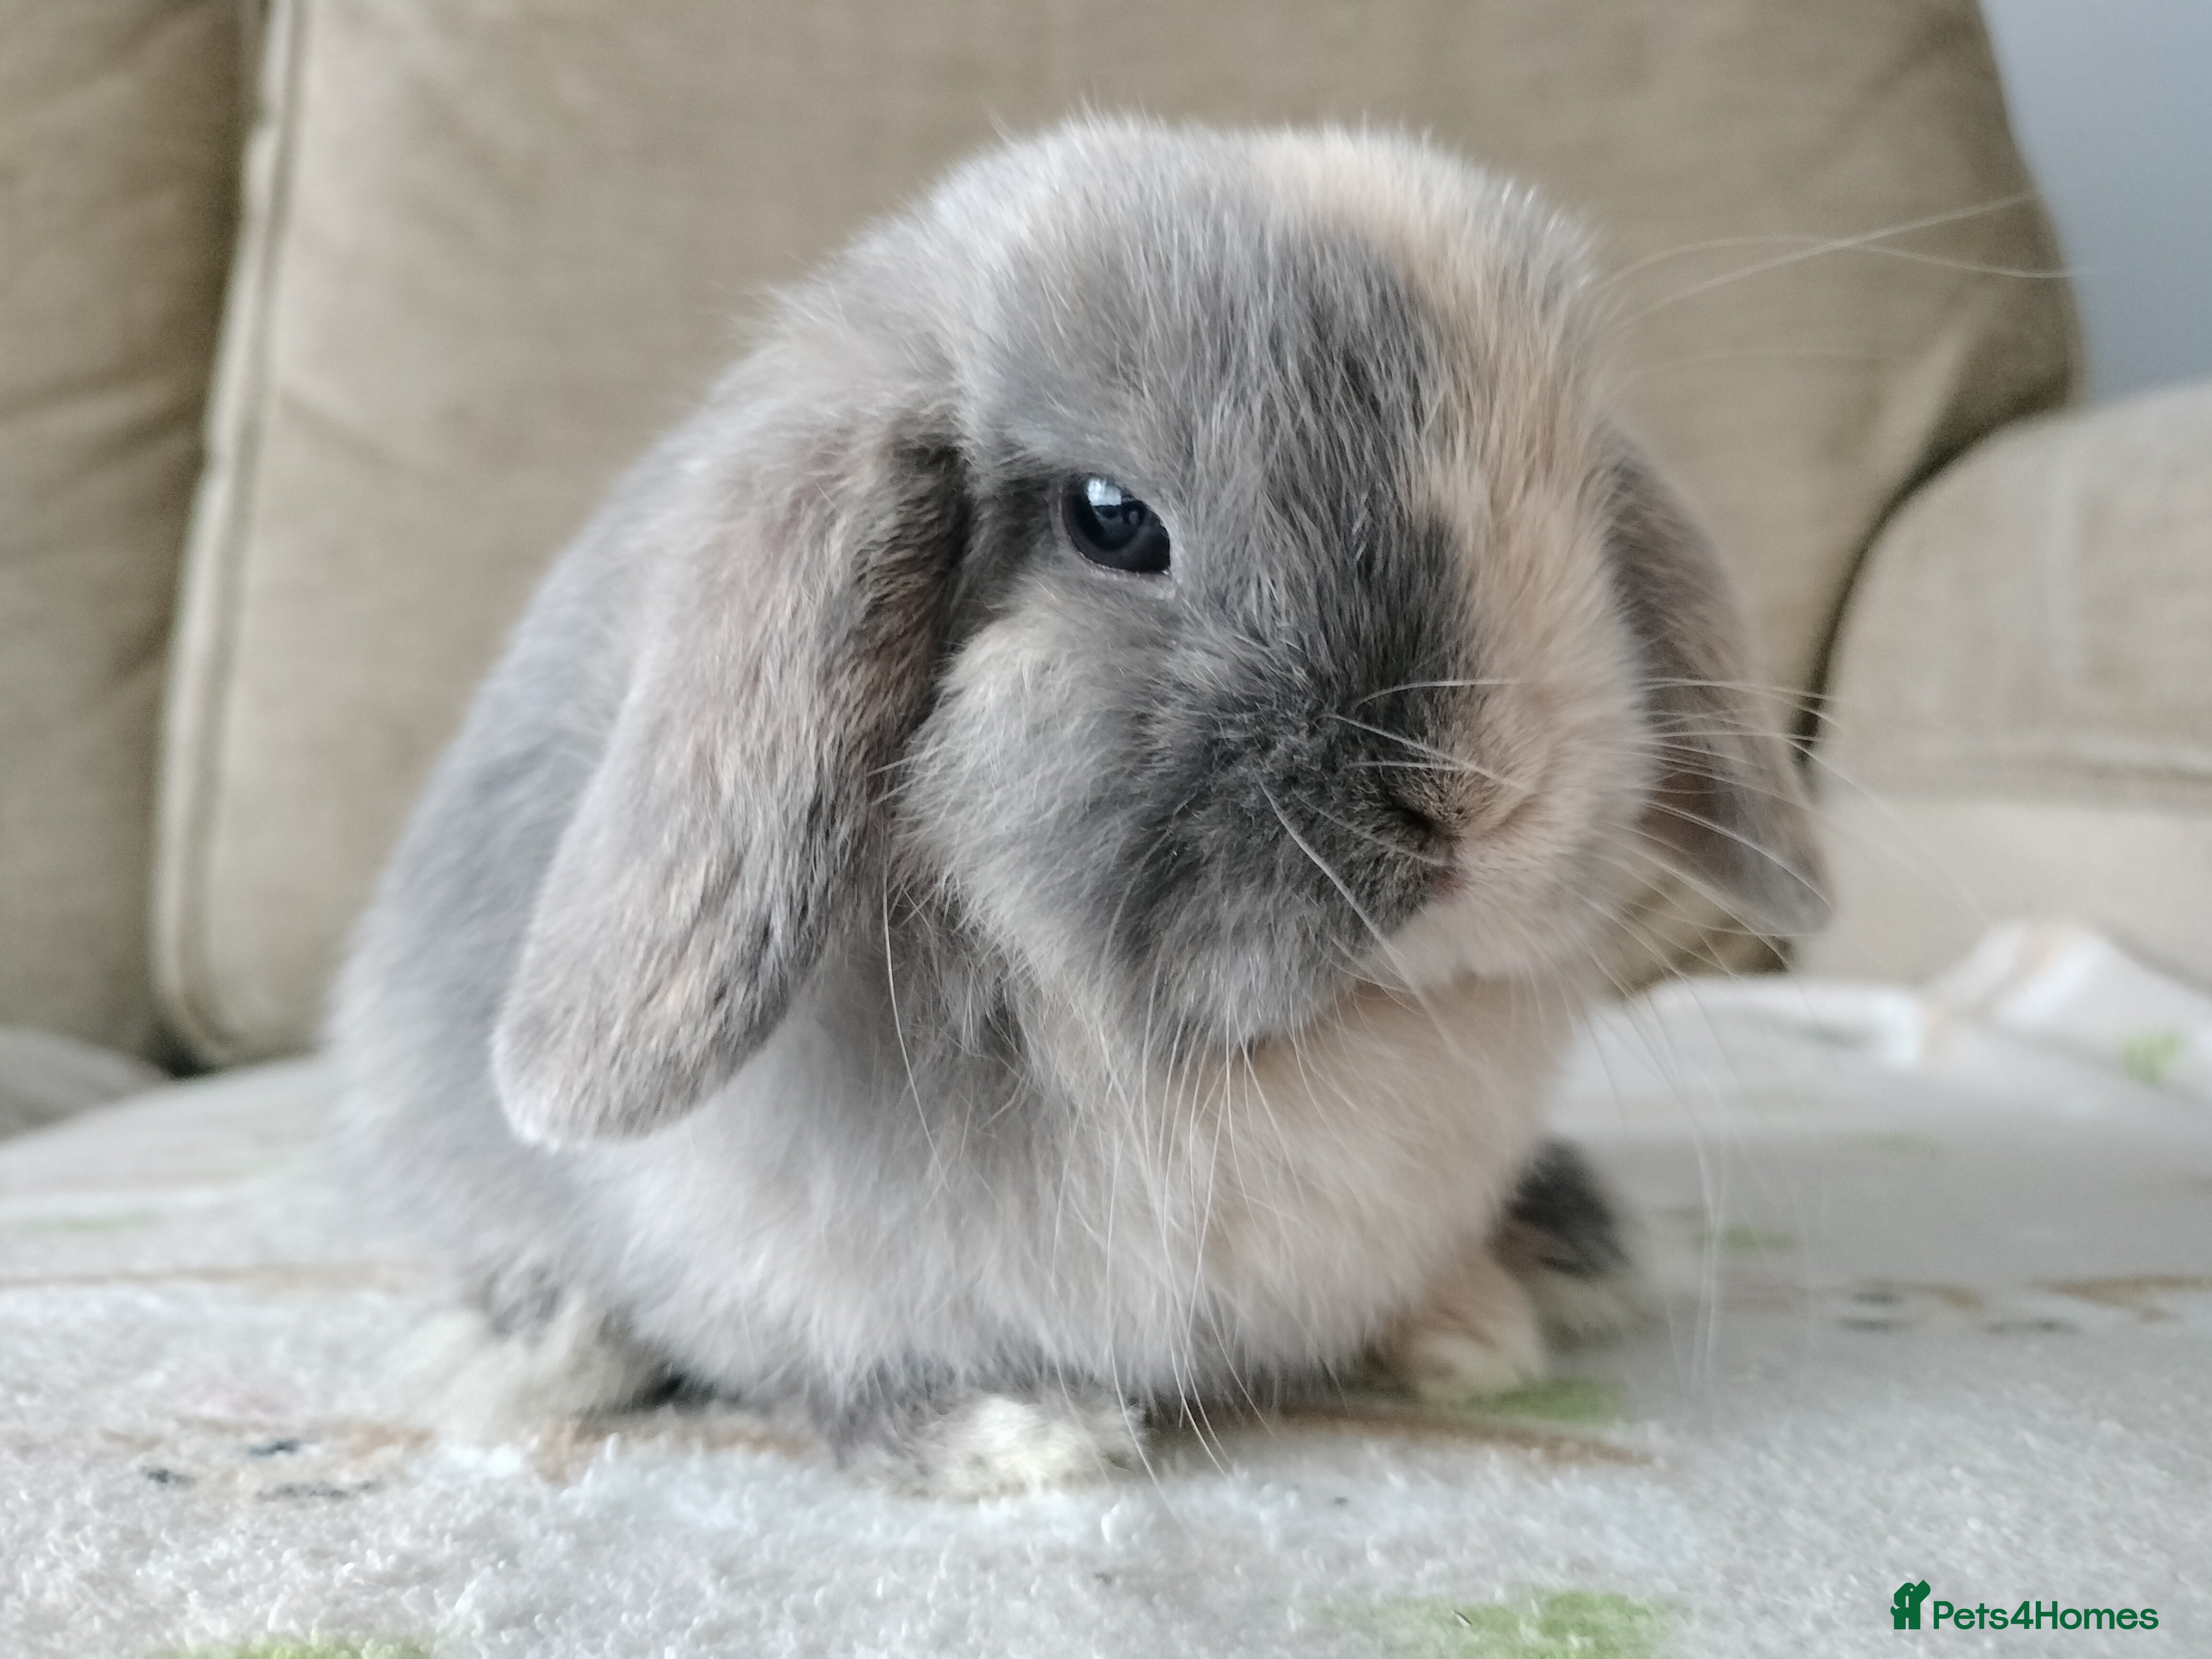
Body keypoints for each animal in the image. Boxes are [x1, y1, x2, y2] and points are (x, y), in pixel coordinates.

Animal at [329, 117, 1826, 1497]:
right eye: (1110, 519)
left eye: (1579, 512)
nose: (1486, 795)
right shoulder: (750, 1252)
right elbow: (819, 1373)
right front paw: (1014, 1434)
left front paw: (1470, 1335)